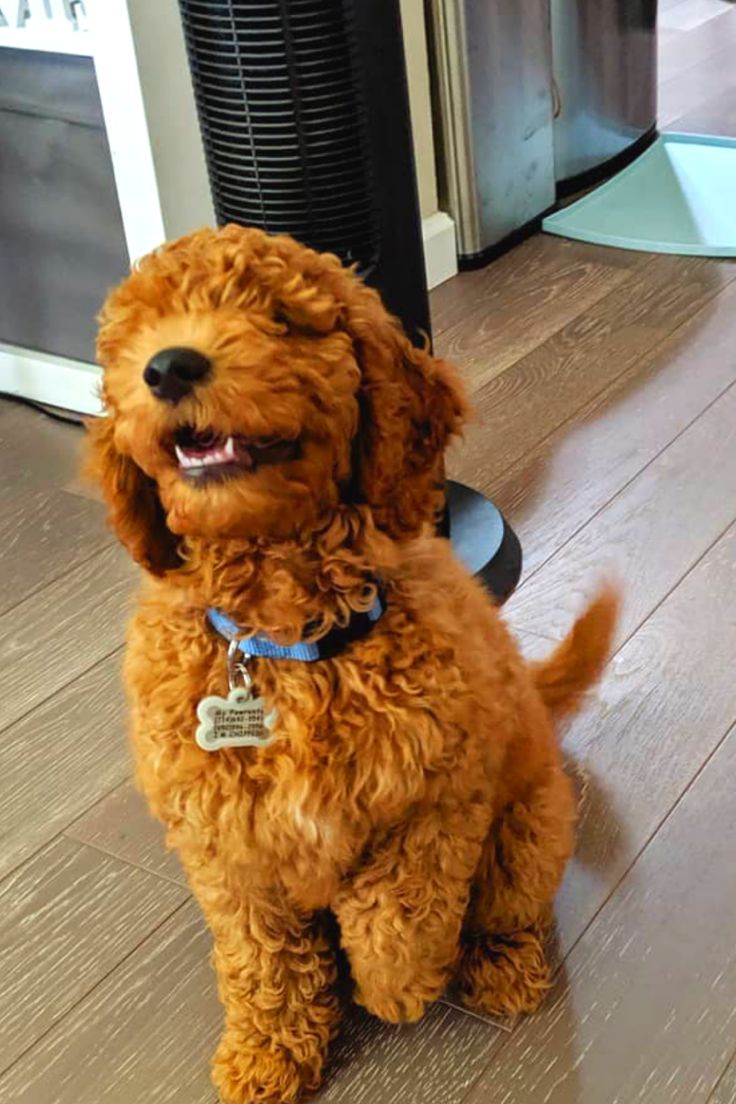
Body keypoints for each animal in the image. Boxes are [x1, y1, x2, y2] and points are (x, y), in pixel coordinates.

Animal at [84, 226, 617, 1104]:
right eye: (136, 335)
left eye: (280, 319)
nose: (169, 367)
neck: (287, 637)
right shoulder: (228, 845)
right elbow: (262, 957)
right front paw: (269, 1050)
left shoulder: (437, 802)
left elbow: (400, 914)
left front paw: (396, 988)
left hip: (529, 829)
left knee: (506, 909)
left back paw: (498, 966)